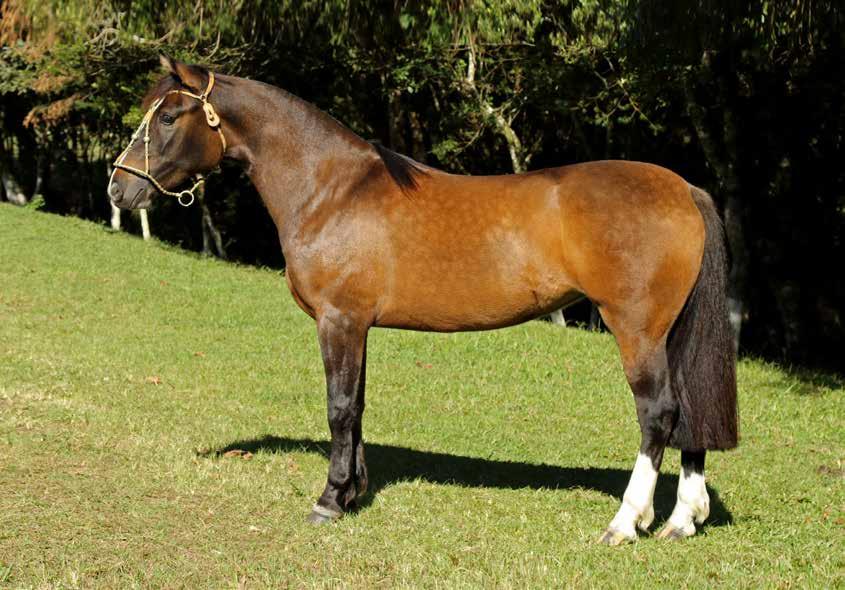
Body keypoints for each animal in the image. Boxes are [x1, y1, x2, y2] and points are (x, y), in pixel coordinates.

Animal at [109, 57, 736, 548]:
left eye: (169, 117)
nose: (119, 188)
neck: (332, 189)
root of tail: (683, 188)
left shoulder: (339, 321)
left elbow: (339, 408)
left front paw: (329, 500)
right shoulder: (358, 326)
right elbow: (357, 406)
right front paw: (353, 492)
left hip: (637, 330)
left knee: (658, 414)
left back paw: (626, 522)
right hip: (671, 332)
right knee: (689, 416)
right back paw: (682, 519)